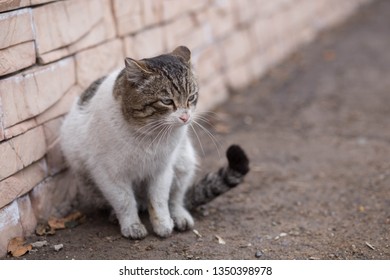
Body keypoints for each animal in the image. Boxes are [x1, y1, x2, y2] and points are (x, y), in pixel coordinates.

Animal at [61, 46, 250, 238]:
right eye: (166, 101)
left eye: (191, 97)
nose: (185, 117)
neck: (150, 135)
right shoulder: (109, 174)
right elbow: (124, 201)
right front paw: (132, 226)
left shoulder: (162, 169)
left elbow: (159, 199)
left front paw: (163, 224)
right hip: (87, 181)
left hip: (184, 163)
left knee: (177, 198)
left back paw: (179, 216)